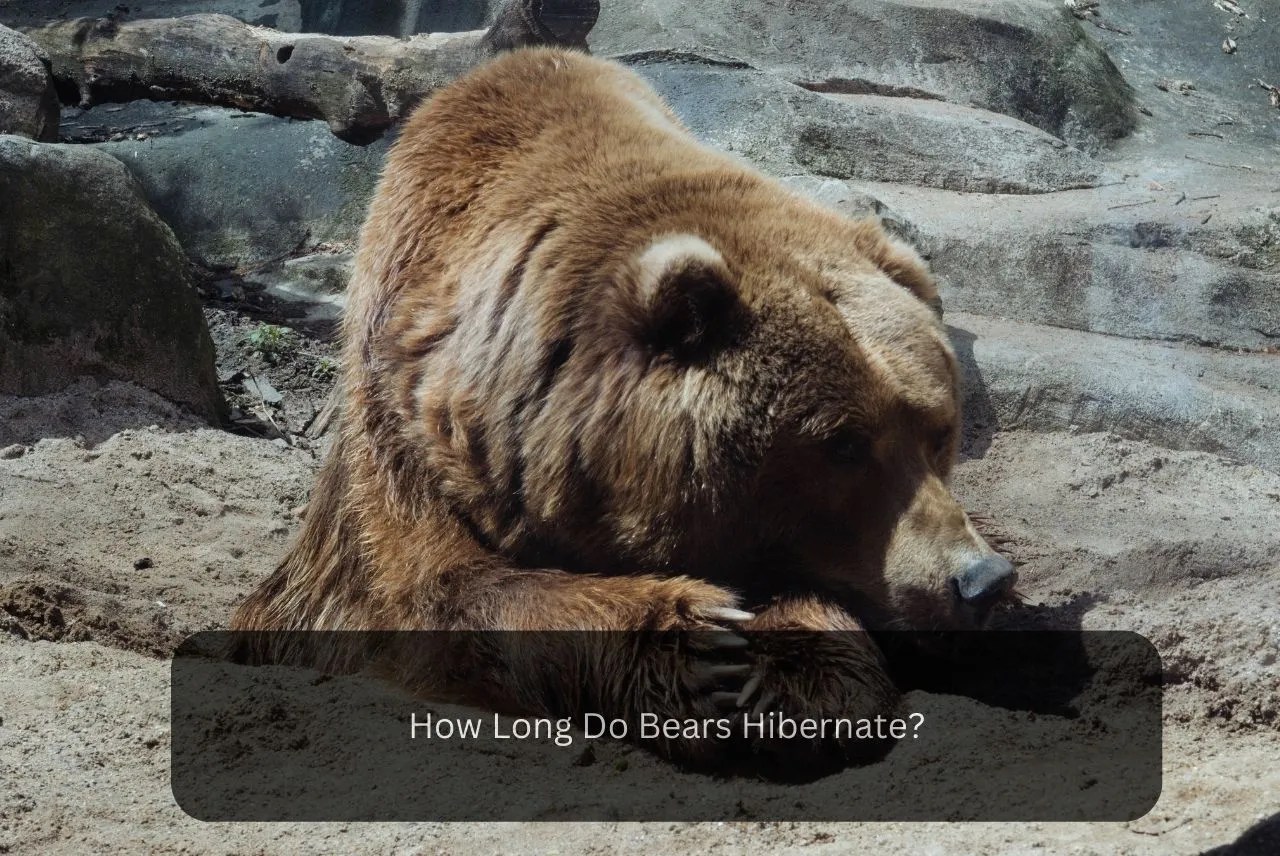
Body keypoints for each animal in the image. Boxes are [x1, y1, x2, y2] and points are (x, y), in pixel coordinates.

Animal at [230, 46, 1017, 773]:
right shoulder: (405, 429)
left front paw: (790, 678)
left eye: (938, 430)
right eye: (845, 444)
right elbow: (423, 593)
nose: (980, 579)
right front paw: (702, 644)